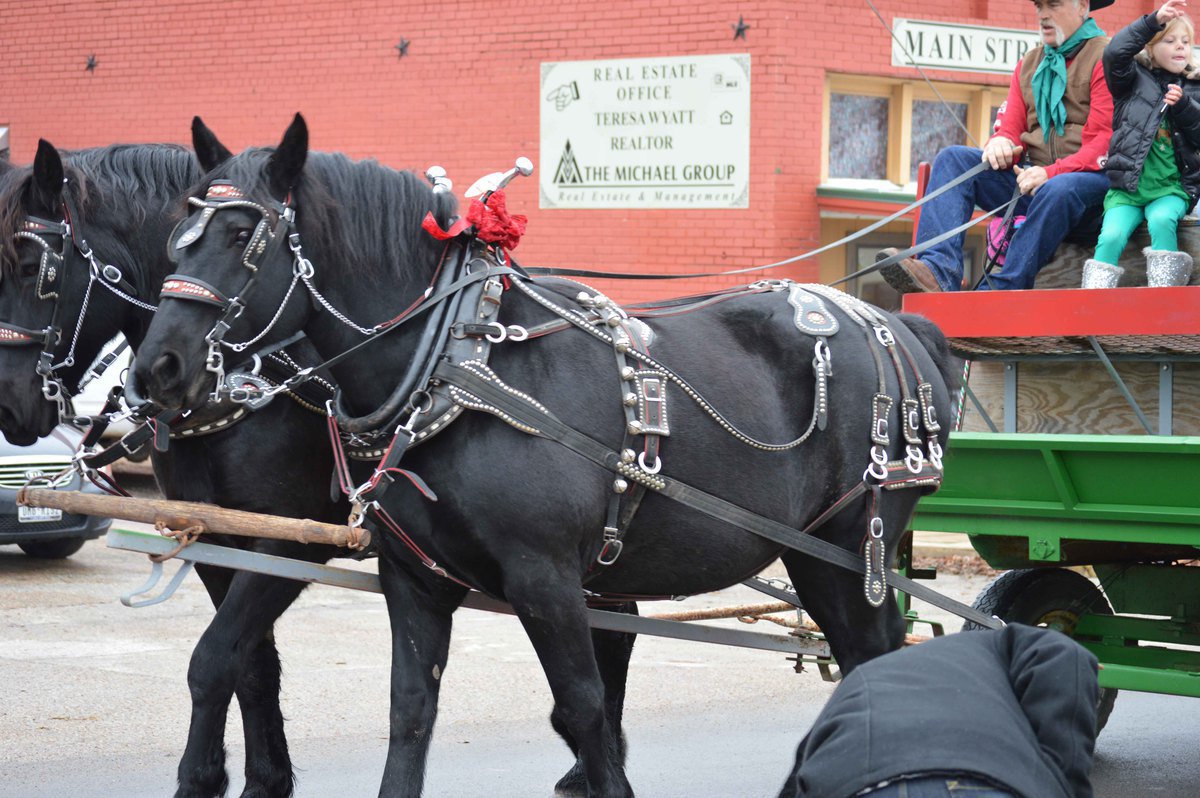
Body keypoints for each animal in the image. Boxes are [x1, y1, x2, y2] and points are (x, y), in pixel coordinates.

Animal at [0, 138, 638, 796]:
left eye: (30, 268)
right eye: (179, 244)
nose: (9, 403)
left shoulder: (289, 541)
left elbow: (216, 658)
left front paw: (208, 778)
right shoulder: (217, 540)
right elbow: (249, 665)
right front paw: (262, 778)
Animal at [133, 113, 955, 796]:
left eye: (245, 236)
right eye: (177, 235)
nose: (158, 369)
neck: (457, 363)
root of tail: (895, 327)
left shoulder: (545, 576)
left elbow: (584, 709)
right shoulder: (414, 579)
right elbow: (409, 710)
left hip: (846, 547)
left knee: (874, 657)